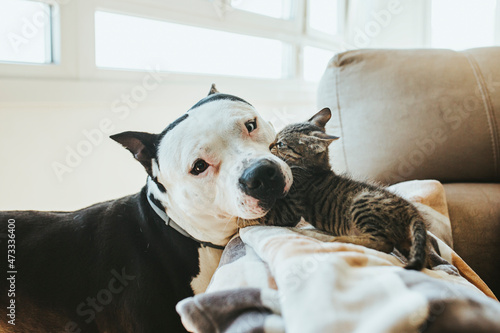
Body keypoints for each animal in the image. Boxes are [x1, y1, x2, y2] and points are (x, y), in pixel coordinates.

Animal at [240, 108, 428, 270]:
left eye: (280, 144)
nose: (269, 145)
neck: (313, 169)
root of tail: (411, 210)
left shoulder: (289, 211)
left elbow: (262, 215)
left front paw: (240, 219)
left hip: (361, 203)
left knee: (382, 244)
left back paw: (333, 238)